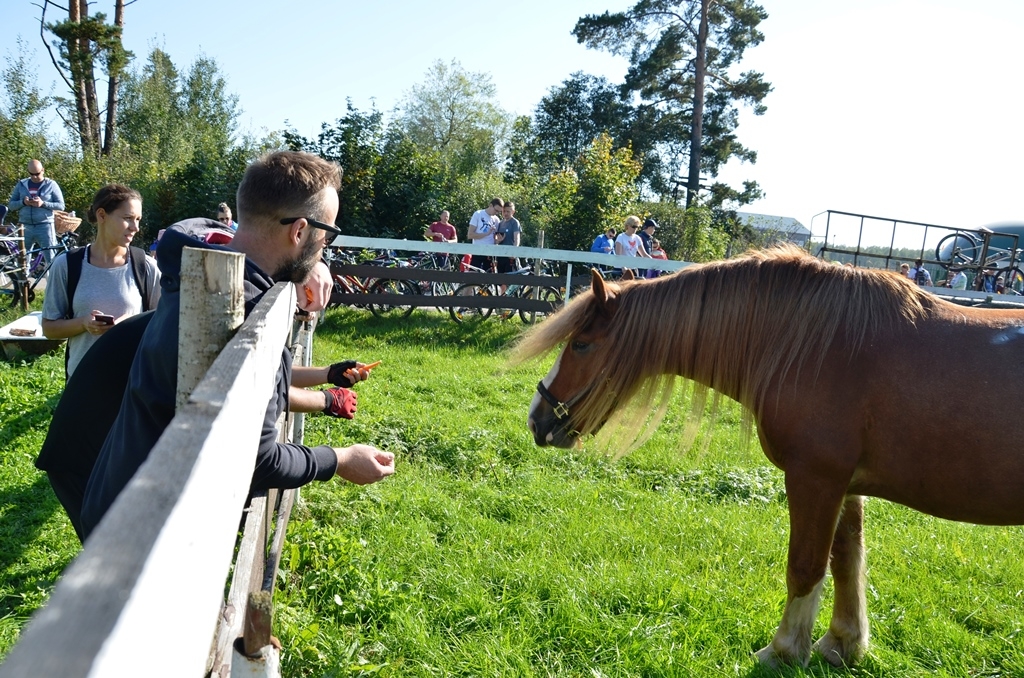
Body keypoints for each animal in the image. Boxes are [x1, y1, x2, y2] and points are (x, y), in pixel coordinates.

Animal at [516, 245, 1024, 667]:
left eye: (582, 344)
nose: (537, 418)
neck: (818, 345)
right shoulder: (845, 486)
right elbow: (846, 560)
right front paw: (841, 643)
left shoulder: (814, 479)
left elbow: (805, 567)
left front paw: (783, 650)